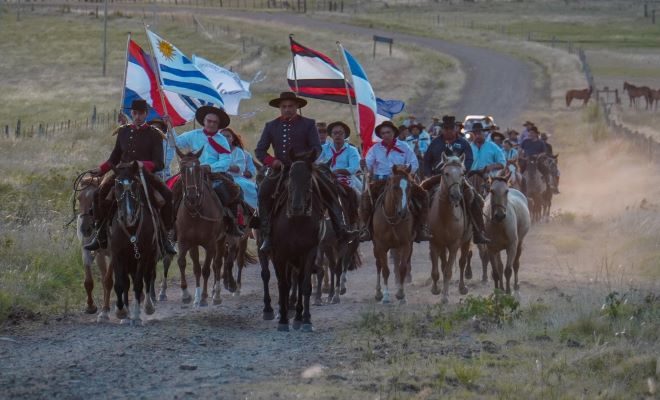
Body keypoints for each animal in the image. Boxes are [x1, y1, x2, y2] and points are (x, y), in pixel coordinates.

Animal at [110, 162, 159, 324]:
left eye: (135, 185)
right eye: (117, 185)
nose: (128, 216)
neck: (131, 228)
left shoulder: (143, 256)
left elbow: (138, 283)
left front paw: (137, 315)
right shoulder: (117, 255)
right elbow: (119, 284)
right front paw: (121, 312)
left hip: (150, 257)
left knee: (148, 277)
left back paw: (148, 306)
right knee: (126, 282)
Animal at [171, 147, 226, 306]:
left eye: (198, 169)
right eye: (182, 169)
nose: (192, 196)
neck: (195, 213)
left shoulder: (210, 244)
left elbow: (206, 269)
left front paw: (204, 297)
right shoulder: (185, 242)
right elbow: (184, 263)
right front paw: (187, 295)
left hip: (221, 240)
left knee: (217, 263)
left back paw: (216, 294)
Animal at [270, 149, 324, 332]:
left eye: (308, 177)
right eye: (291, 175)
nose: (297, 207)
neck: (296, 222)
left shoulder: (309, 252)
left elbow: (305, 285)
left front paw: (306, 320)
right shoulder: (280, 254)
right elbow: (283, 285)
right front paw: (282, 320)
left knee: (299, 281)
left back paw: (298, 317)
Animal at [374, 164, 416, 304]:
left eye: (410, 186)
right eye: (395, 187)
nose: (403, 212)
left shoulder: (406, 244)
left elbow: (402, 267)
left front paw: (401, 294)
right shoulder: (380, 246)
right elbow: (385, 269)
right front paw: (386, 296)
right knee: (378, 265)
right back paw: (378, 293)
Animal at [426, 154, 472, 304]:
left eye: (462, 173)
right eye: (445, 173)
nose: (456, 196)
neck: (445, 216)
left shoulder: (454, 245)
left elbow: (448, 271)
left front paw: (445, 296)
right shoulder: (434, 243)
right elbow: (436, 271)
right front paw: (436, 290)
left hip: (466, 241)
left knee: (462, 262)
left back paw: (462, 288)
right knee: (443, 263)